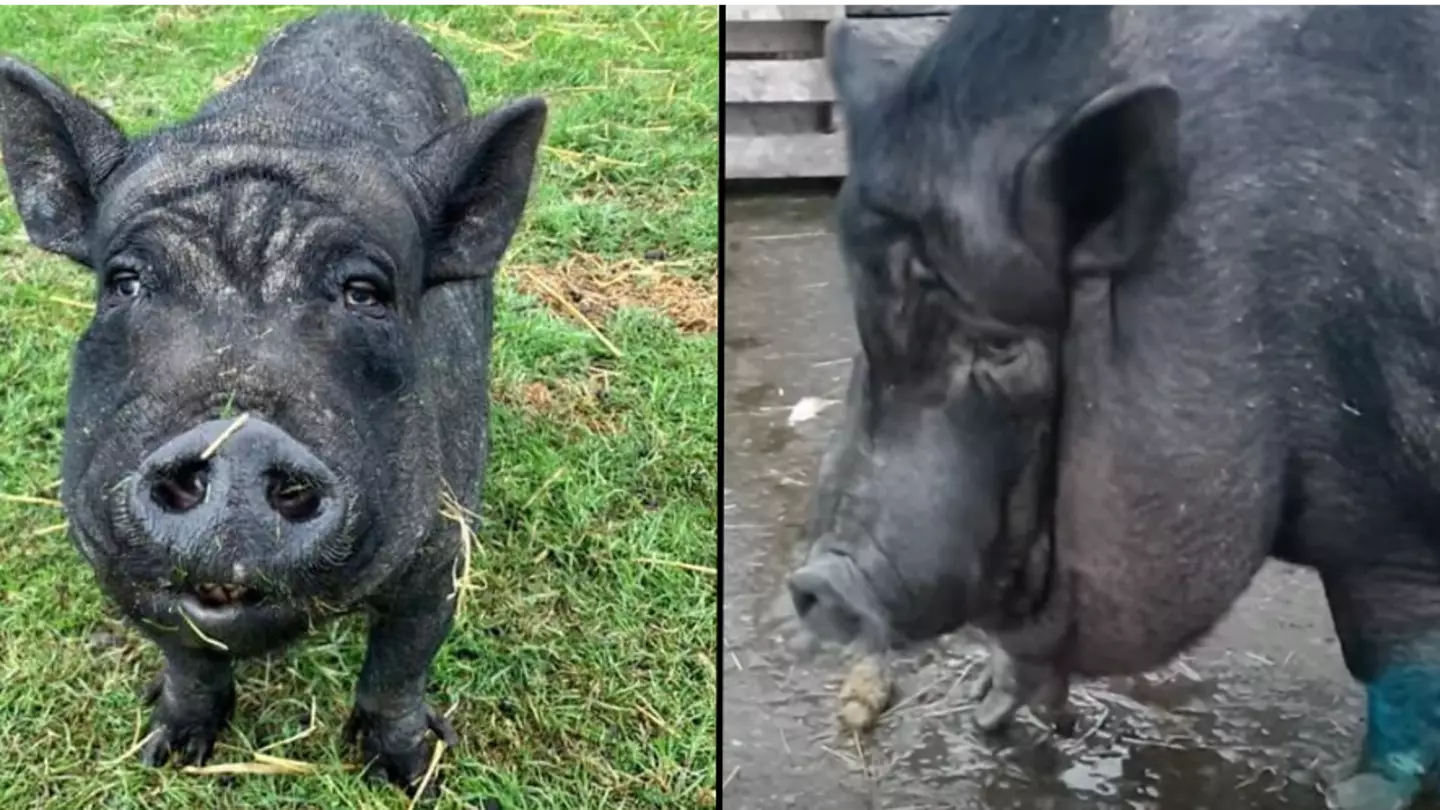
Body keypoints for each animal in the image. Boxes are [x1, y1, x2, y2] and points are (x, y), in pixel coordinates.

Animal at [0, 7, 544, 789]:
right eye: (124, 281)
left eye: (365, 292)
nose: (241, 435)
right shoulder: (111, 557)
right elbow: (188, 659)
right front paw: (168, 752)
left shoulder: (444, 548)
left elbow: (399, 668)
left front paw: (414, 775)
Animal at [794, 6, 1440, 807]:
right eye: (866, 321)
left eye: (1000, 346)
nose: (818, 581)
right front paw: (986, 713)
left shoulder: (1390, 527)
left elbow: (1394, 662)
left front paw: (1348, 792)